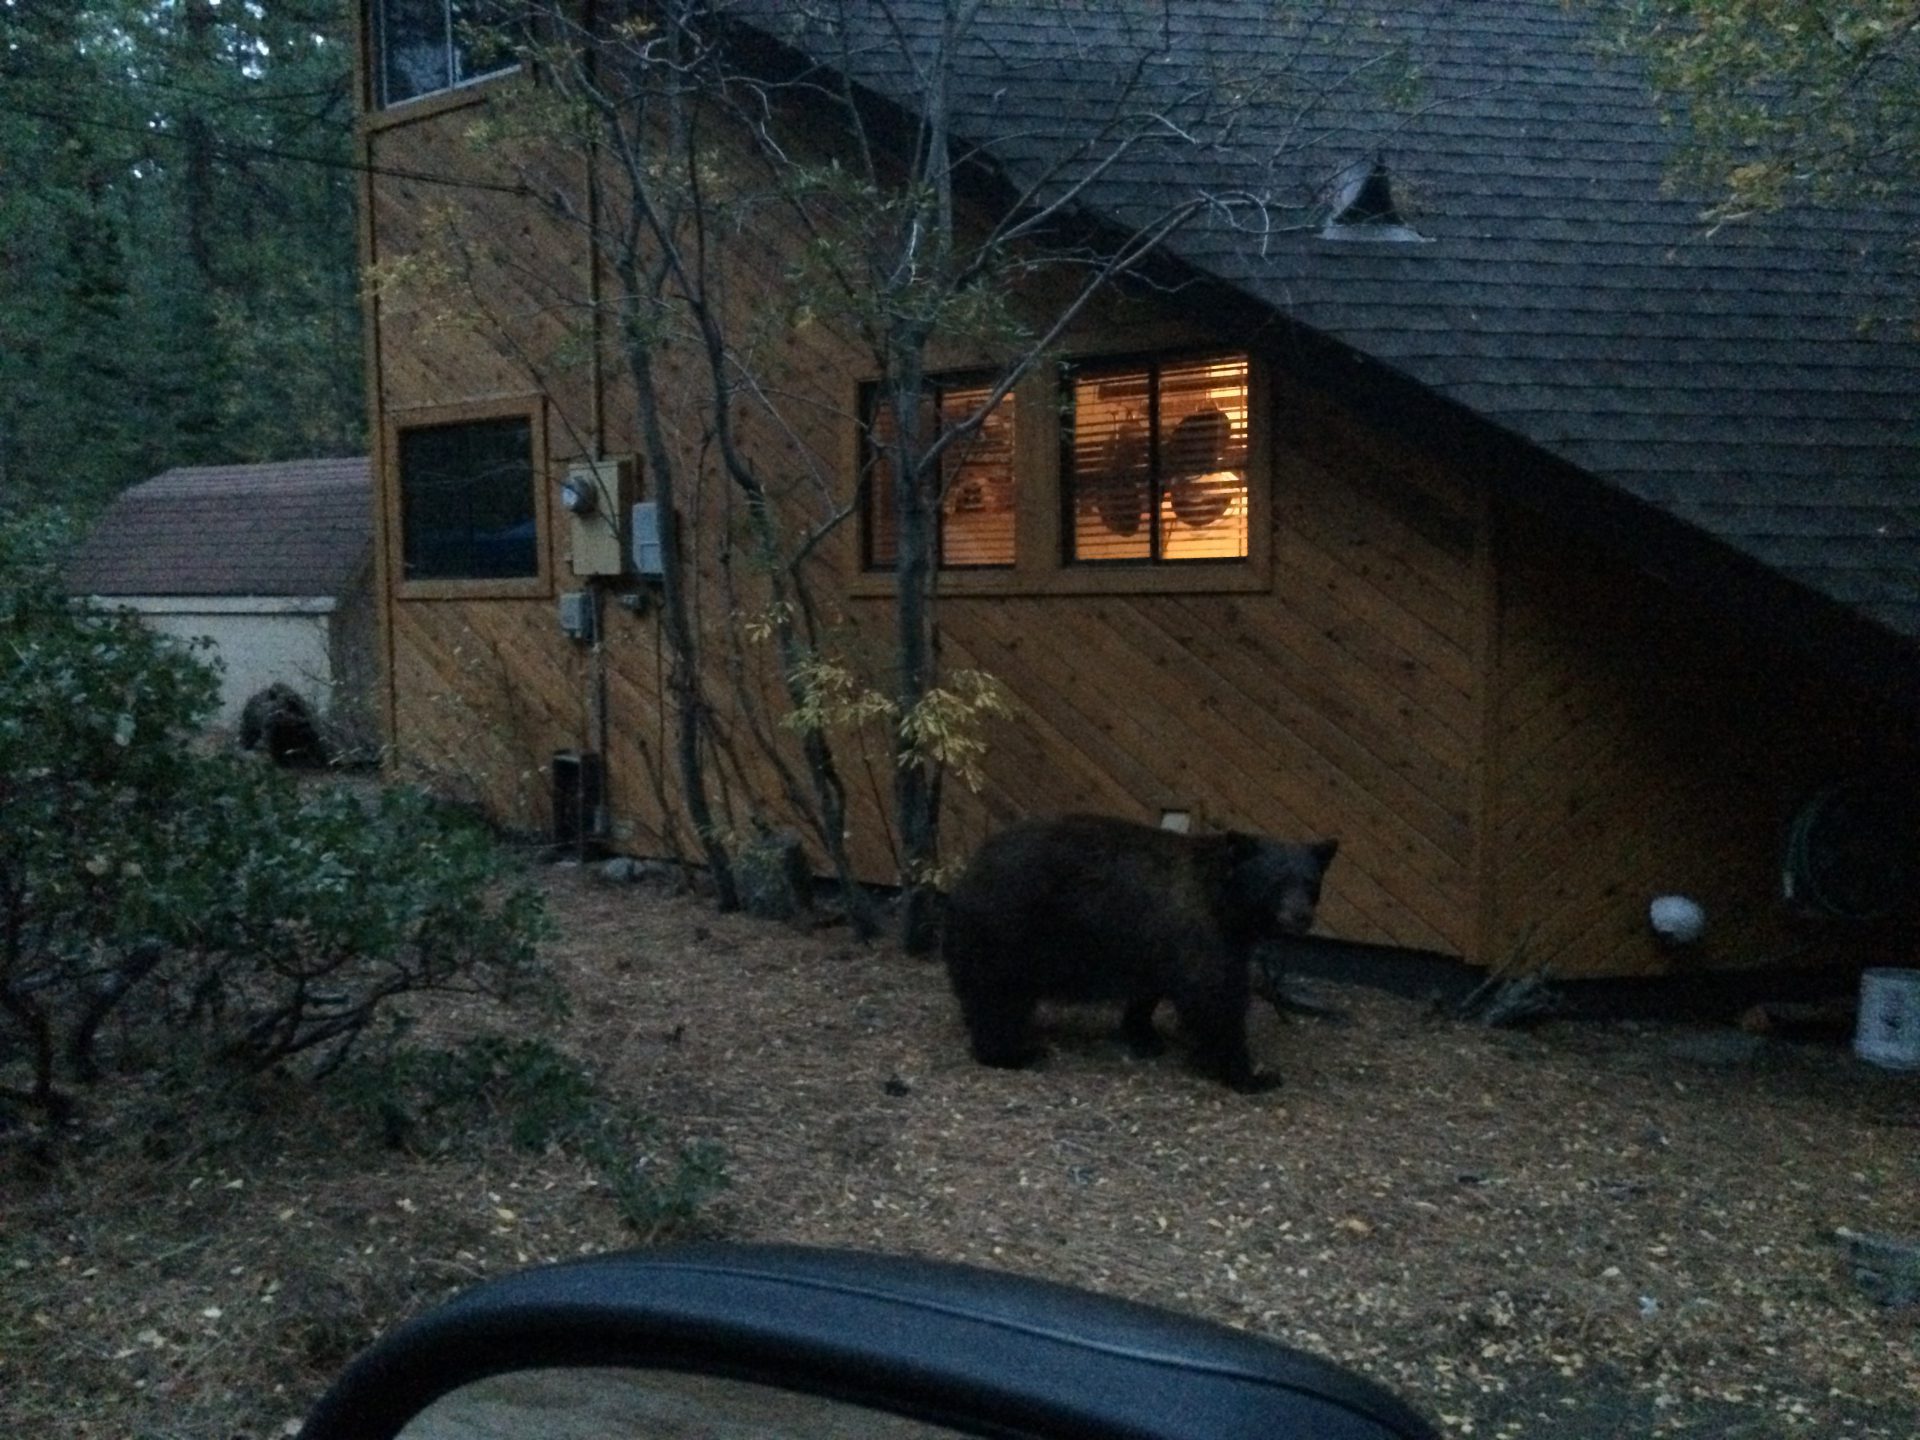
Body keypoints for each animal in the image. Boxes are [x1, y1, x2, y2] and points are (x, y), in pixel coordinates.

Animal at [940, 814, 1336, 1090]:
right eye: (1276, 881)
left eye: (1311, 883)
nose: (1300, 916)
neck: (1225, 903)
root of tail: (968, 875)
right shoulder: (1201, 934)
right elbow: (1215, 1000)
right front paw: (1251, 1075)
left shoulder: (1158, 945)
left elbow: (1150, 990)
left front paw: (1143, 1034)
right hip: (1012, 932)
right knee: (1000, 997)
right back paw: (1015, 1053)